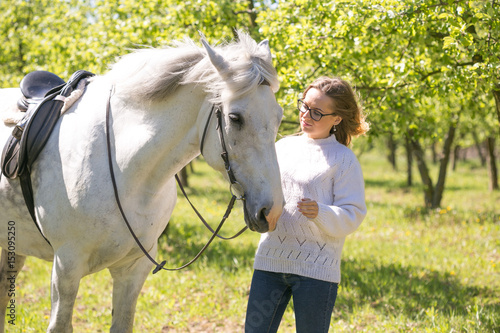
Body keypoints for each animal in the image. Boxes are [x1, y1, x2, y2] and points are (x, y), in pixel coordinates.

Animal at [0, 31, 284, 332]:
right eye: (235, 118)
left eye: (278, 117)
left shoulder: (133, 269)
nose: (272, 211)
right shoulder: (66, 266)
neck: (124, 169)